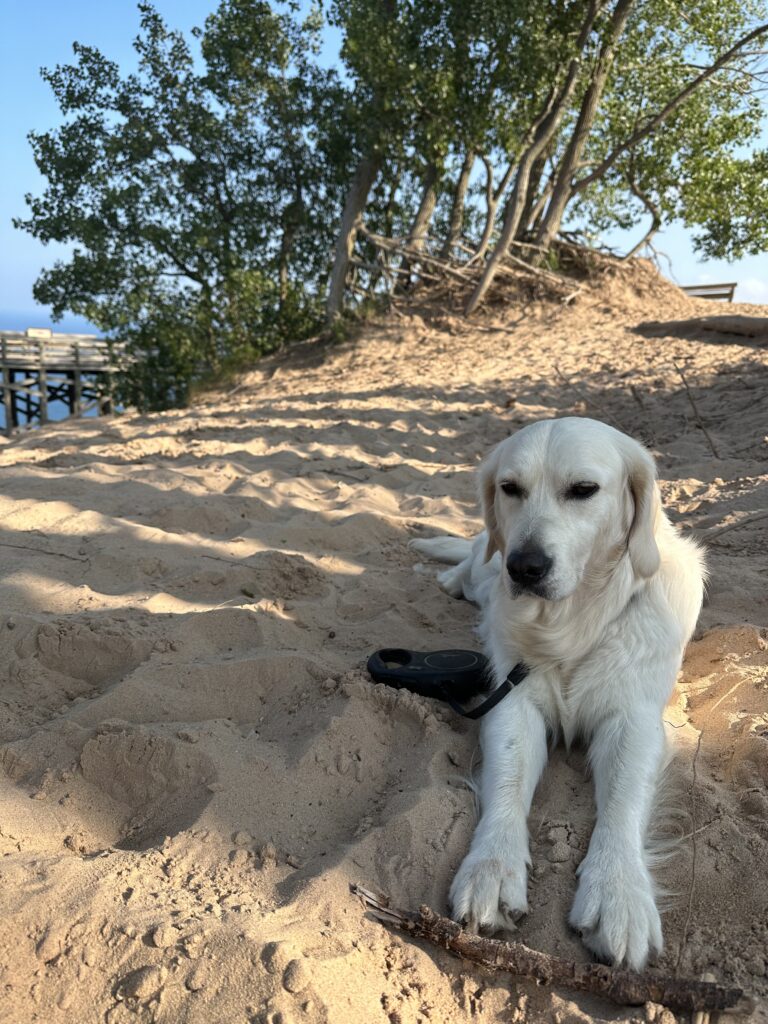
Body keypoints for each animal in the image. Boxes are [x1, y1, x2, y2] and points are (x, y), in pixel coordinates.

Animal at [411, 417, 705, 971]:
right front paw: (491, 868)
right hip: (485, 561)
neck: (572, 623)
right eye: (510, 488)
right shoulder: (513, 701)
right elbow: (508, 780)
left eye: (583, 490)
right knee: (473, 562)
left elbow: (622, 799)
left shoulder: (634, 719)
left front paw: (618, 891)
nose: (524, 567)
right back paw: (450, 576)